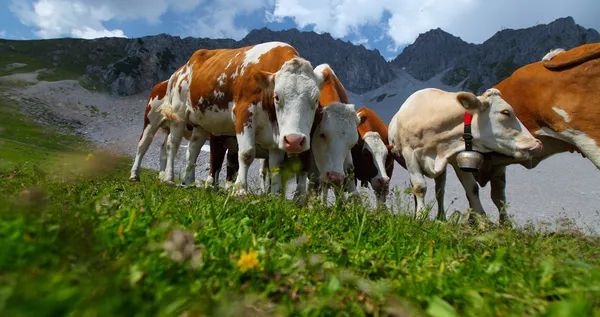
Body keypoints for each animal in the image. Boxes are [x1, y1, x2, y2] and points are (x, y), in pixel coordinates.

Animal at [156, 42, 324, 195]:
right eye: (277, 97)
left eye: (316, 100)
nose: (295, 141)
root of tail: (181, 70)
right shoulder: (244, 113)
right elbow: (246, 153)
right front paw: (240, 189)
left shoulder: (278, 132)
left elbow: (275, 165)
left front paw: (275, 195)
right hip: (178, 114)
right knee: (172, 145)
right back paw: (169, 178)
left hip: (201, 123)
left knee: (192, 149)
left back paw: (188, 181)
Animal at [390, 86, 544, 221]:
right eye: (505, 112)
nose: (538, 143)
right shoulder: (409, 153)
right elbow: (419, 187)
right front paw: (420, 217)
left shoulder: (455, 156)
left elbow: (472, 188)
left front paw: (482, 219)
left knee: (440, 191)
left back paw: (442, 218)